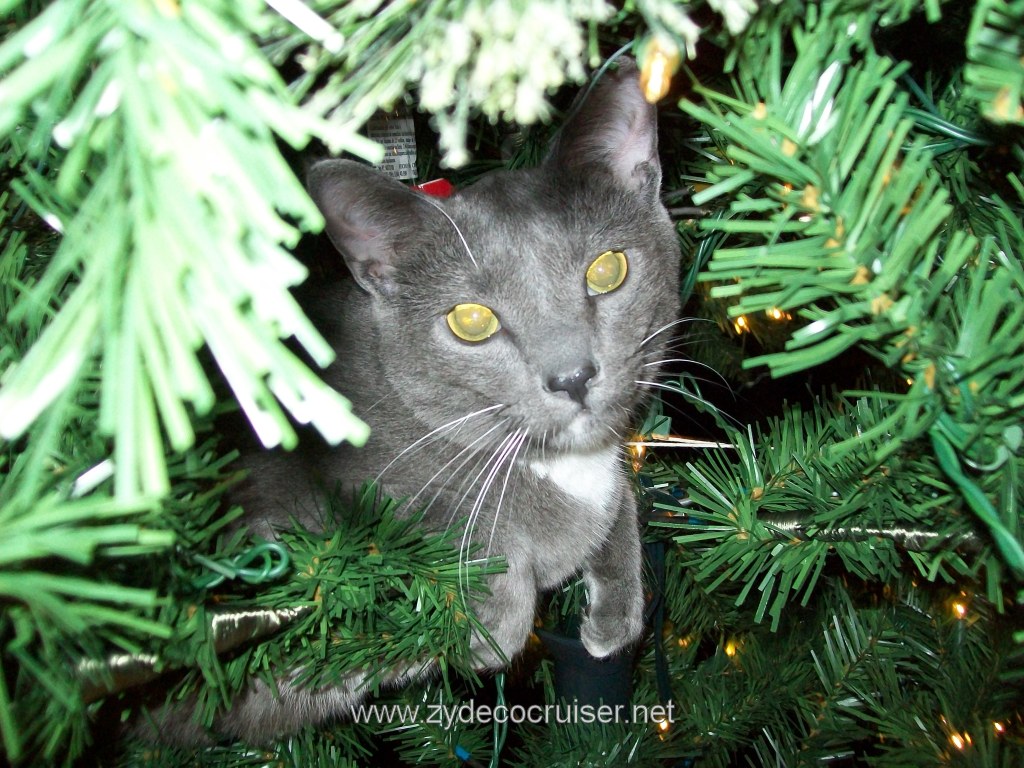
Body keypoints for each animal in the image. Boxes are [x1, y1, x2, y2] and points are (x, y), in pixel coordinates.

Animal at [149, 57, 681, 745]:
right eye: (471, 322)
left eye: (607, 271)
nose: (572, 376)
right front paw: (485, 632)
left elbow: (622, 502)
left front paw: (615, 617)